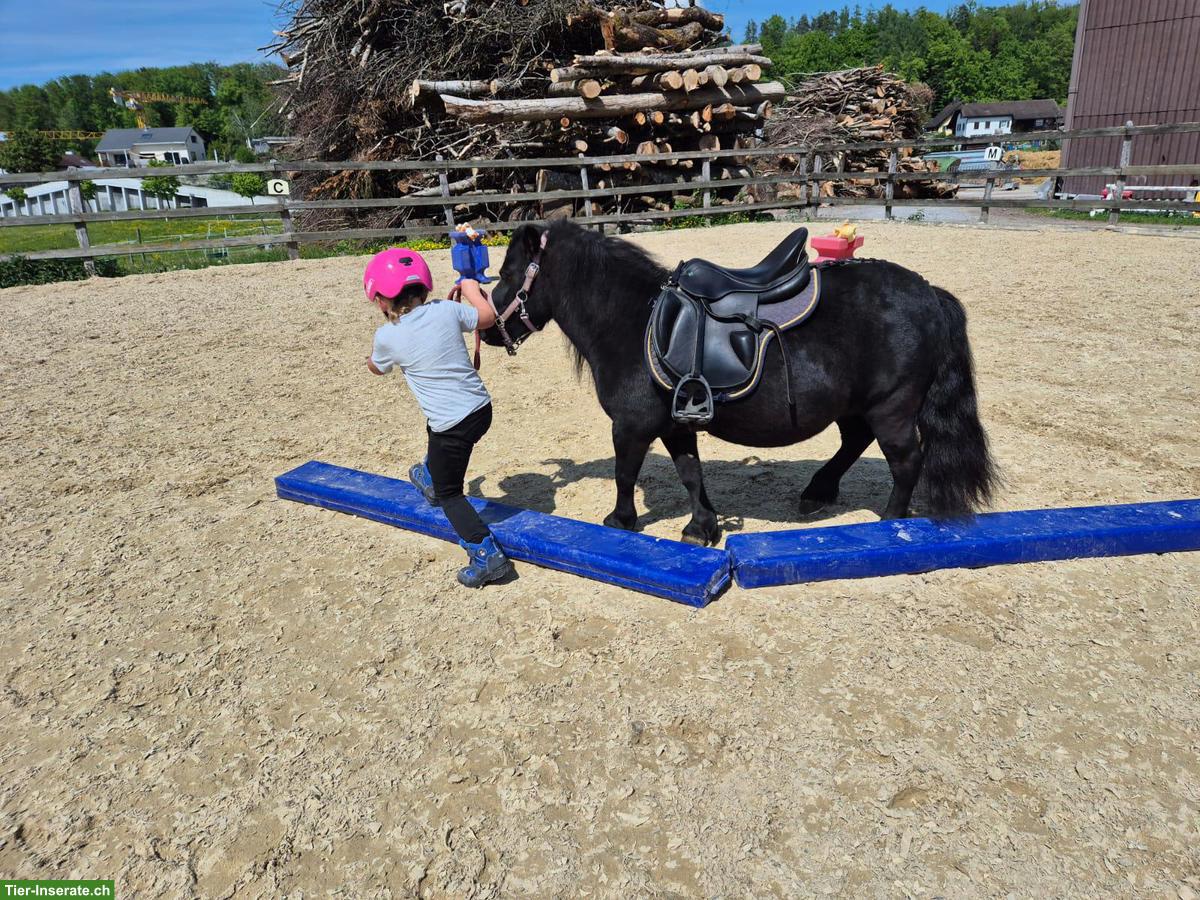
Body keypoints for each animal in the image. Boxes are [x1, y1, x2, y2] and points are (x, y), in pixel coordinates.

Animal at [479, 220, 997, 546]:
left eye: (505, 273)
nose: (486, 330)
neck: (631, 318)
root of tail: (928, 292)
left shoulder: (631, 426)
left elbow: (626, 474)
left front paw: (620, 521)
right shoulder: (676, 424)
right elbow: (691, 473)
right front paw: (702, 527)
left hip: (891, 408)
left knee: (906, 462)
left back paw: (887, 525)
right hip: (857, 406)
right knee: (854, 442)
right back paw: (818, 491)